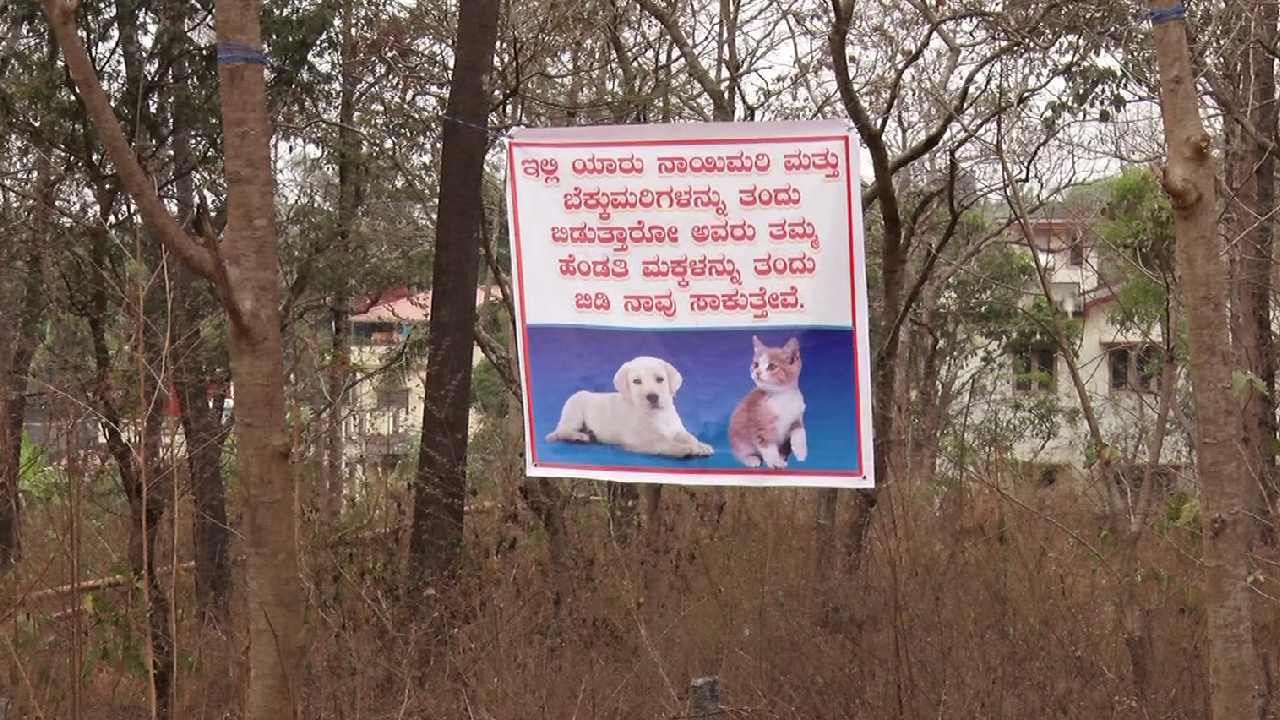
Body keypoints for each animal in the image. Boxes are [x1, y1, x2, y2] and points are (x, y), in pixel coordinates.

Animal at [545, 353, 716, 458]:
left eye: (660, 379)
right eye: (636, 381)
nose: (652, 397)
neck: (657, 414)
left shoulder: (676, 430)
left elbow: (689, 436)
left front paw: (701, 445)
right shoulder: (639, 439)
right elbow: (662, 441)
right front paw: (683, 448)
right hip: (574, 411)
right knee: (562, 431)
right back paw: (578, 436)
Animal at [732, 335, 808, 468]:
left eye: (772, 366)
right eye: (756, 364)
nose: (757, 373)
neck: (782, 397)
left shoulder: (796, 416)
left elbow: (800, 432)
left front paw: (801, 451)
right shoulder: (760, 427)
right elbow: (768, 448)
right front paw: (775, 463)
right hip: (739, 437)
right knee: (741, 453)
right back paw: (751, 459)